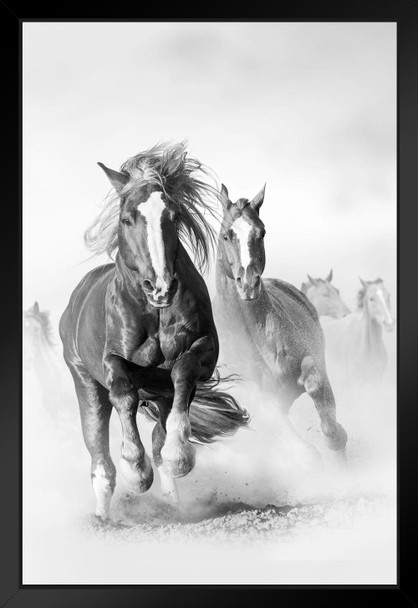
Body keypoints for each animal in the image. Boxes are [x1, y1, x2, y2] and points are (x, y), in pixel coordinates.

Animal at [58, 141, 248, 516]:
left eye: (173, 216)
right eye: (126, 218)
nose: (159, 287)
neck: (154, 314)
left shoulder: (202, 352)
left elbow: (183, 371)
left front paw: (179, 456)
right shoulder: (113, 362)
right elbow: (122, 389)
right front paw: (136, 470)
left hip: (160, 396)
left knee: (159, 434)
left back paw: (173, 501)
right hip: (84, 382)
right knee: (99, 457)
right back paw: (103, 517)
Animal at [212, 185, 346, 460]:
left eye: (261, 232)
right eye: (226, 235)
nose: (248, 284)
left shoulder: (313, 362)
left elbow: (316, 383)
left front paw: (335, 437)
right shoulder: (259, 400)